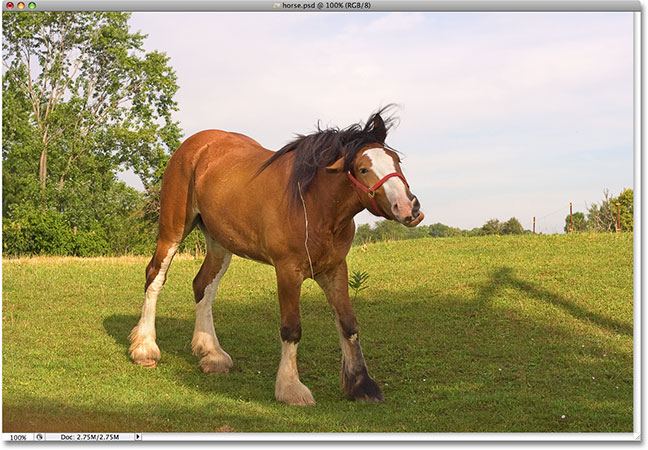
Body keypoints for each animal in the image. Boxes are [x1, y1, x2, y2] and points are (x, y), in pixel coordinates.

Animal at [130, 107, 426, 406]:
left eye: (396, 161)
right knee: (155, 277)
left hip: (219, 243)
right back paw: (145, 348)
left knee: (203, 286)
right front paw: (291, 388)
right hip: (173, 231)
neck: (313, 205)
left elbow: (348, 323)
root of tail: (194, 145)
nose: (409, 208)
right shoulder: (288, 271)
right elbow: (291, 329)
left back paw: (212, 354)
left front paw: (361, 384)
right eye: (363, 169)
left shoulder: (334, 269)